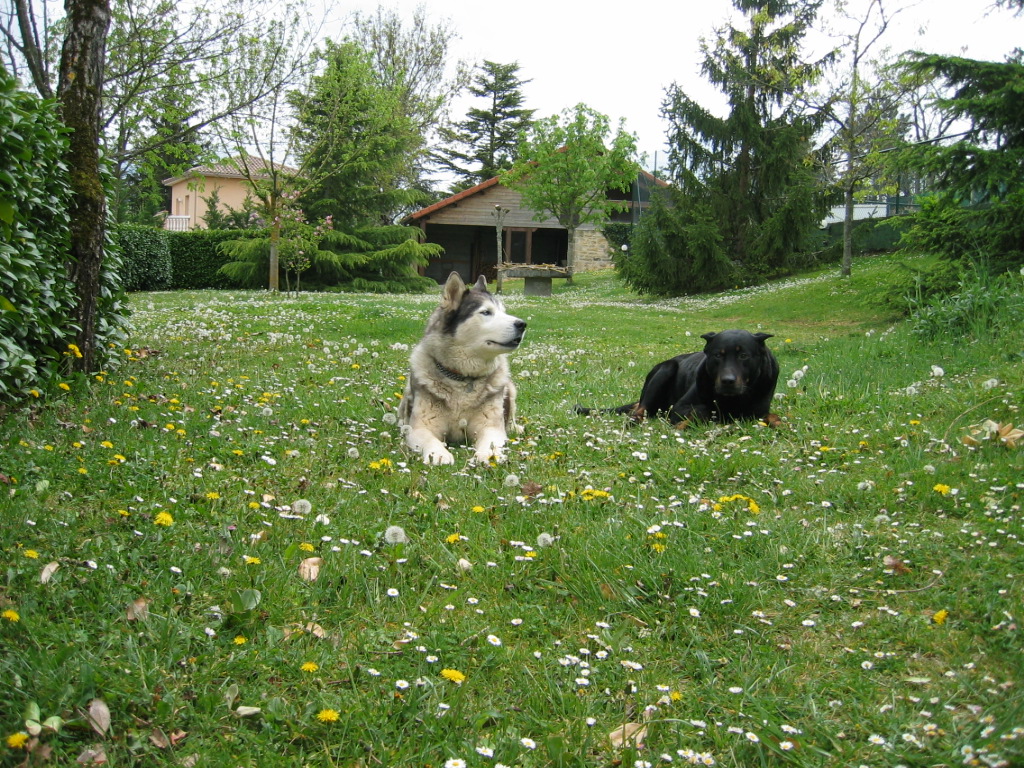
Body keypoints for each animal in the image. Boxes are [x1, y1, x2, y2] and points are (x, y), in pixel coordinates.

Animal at [399, 272, 528, 462]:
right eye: (486, 312)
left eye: (503, 312)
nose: (522, 324)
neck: (463, 377)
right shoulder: (420, 428)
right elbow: (430, 440)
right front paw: (438, 454)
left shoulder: (490, 427)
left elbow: (491, 442)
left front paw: (488, 455)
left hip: (509, 390)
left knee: (510, 417)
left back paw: (515, 428)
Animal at [577, 329, 782, 430]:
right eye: (718, 355)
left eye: (743, 356)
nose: (727, 381)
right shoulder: (681, 406)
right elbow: (703, 411)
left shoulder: (758, 410)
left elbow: (771, 416)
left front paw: (778, 423)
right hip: (665, 371)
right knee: (640, 410)